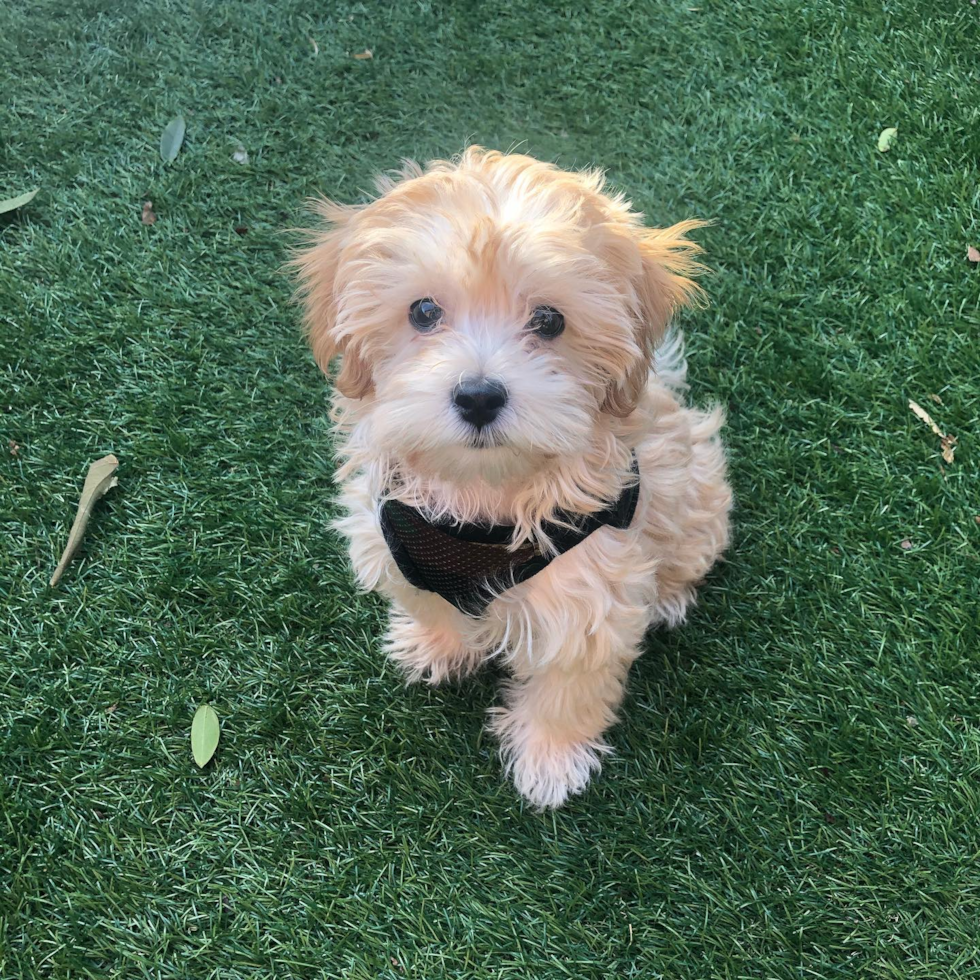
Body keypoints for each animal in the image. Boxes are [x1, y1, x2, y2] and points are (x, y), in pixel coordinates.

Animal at [294, 144, 732, 804]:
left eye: (549, 321)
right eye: (424, 311)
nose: (479, 396)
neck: (484, 493)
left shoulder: (591, 586)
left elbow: (569, 684)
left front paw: (550, 758)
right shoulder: (395, 539)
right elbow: (433, 605)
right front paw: (436, 645)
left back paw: (672, 595)